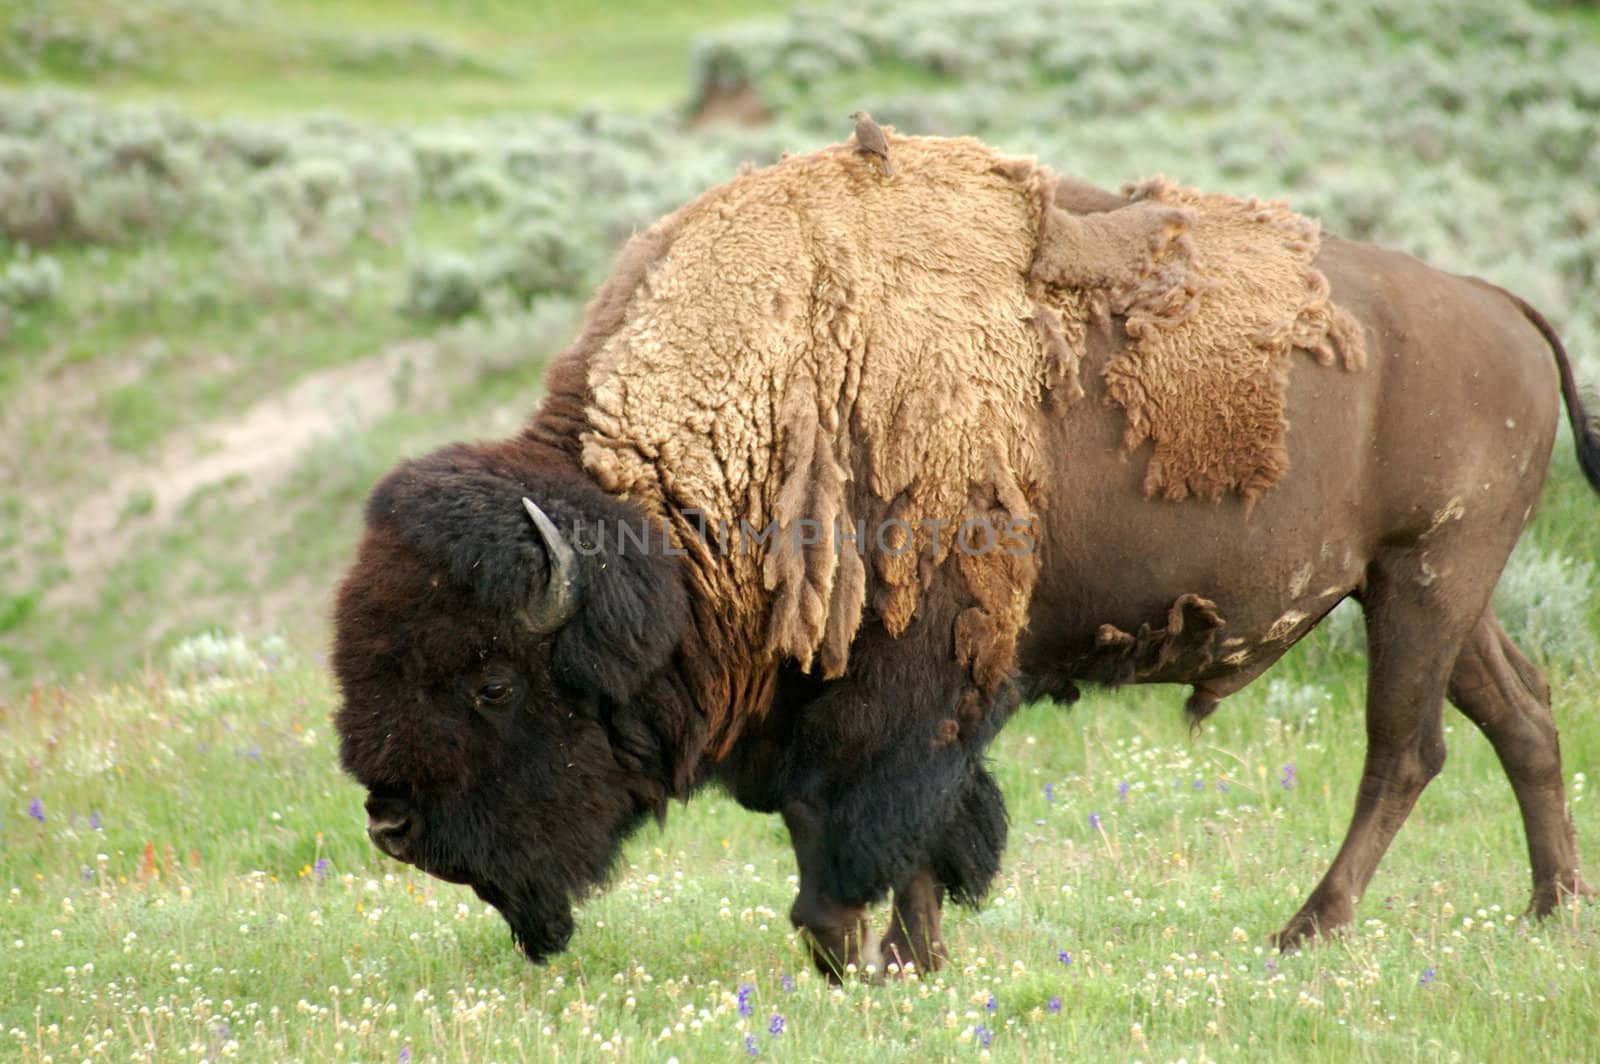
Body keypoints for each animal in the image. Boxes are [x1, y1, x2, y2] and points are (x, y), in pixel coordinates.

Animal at [328, 135, 1600, 979]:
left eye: (492, 682)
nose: (388, 821)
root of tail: (1499, 304)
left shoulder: (913, 684)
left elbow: (880, 821)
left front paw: (868, 954)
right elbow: (892, 830)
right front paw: (897, 956)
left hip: (1427, 576)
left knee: (1406, 746)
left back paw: (1309, 927)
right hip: (1423, 585)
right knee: (1520, 714)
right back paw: (1549, 909)